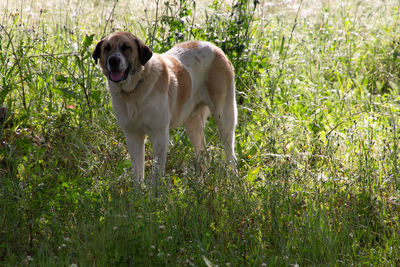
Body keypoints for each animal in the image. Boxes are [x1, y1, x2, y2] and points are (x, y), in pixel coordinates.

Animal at [93, 31, 238, 182]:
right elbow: (138, 173)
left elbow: (156, 172)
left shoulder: (160, 136)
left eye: (127, 47)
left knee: (230, 156)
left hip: (224, 118)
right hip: (193, 125)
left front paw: (155, 189)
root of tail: (215, 47)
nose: (113, 60)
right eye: (106, 48)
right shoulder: (133, 136)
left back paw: (232, 180)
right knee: (204, 156)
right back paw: (200, 183)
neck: (134, 89)